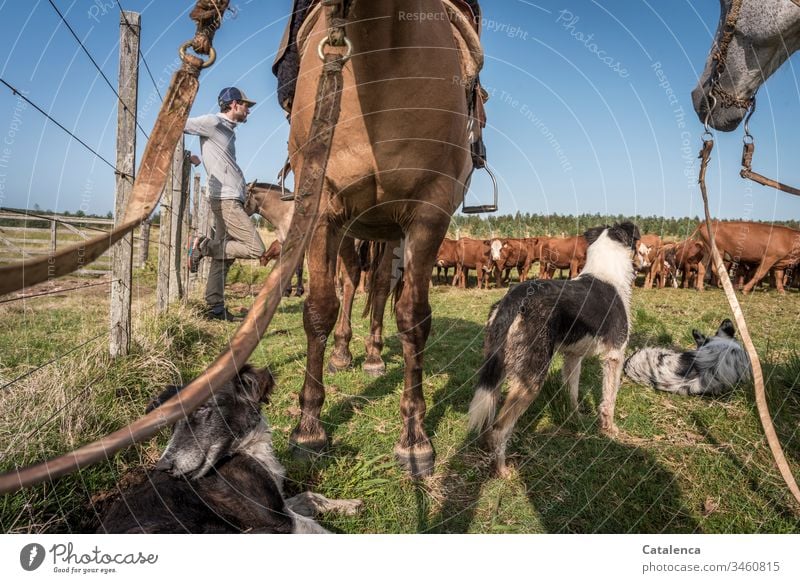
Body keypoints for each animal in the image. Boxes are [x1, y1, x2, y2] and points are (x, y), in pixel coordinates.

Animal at [97, 368, 362, 536]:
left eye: (203, 408)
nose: (163, 467)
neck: (243, 448)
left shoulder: (277, 503)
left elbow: (308, 496)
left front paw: (347, 505)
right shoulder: (275, 520)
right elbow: (316, 527)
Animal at [286, 0, 476, 474]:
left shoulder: (428, 213)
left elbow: (413, 317)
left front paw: (414, 435)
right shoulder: (322, 207)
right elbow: (319, 309)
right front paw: (309, 427)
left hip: (389, 232)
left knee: (378, 290)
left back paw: (372, 356)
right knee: (353, 284)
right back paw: (343, 354)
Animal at [466, 221, 640, 476]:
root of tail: (514, 298)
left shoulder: (573, 357)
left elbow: (572, 393)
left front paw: (575, 419)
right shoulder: (615, 356)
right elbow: (609, 400)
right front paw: (609, 430)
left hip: (497, 367)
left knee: (488, 418)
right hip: (532, 377)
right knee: (500, 428)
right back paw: (502, 471)